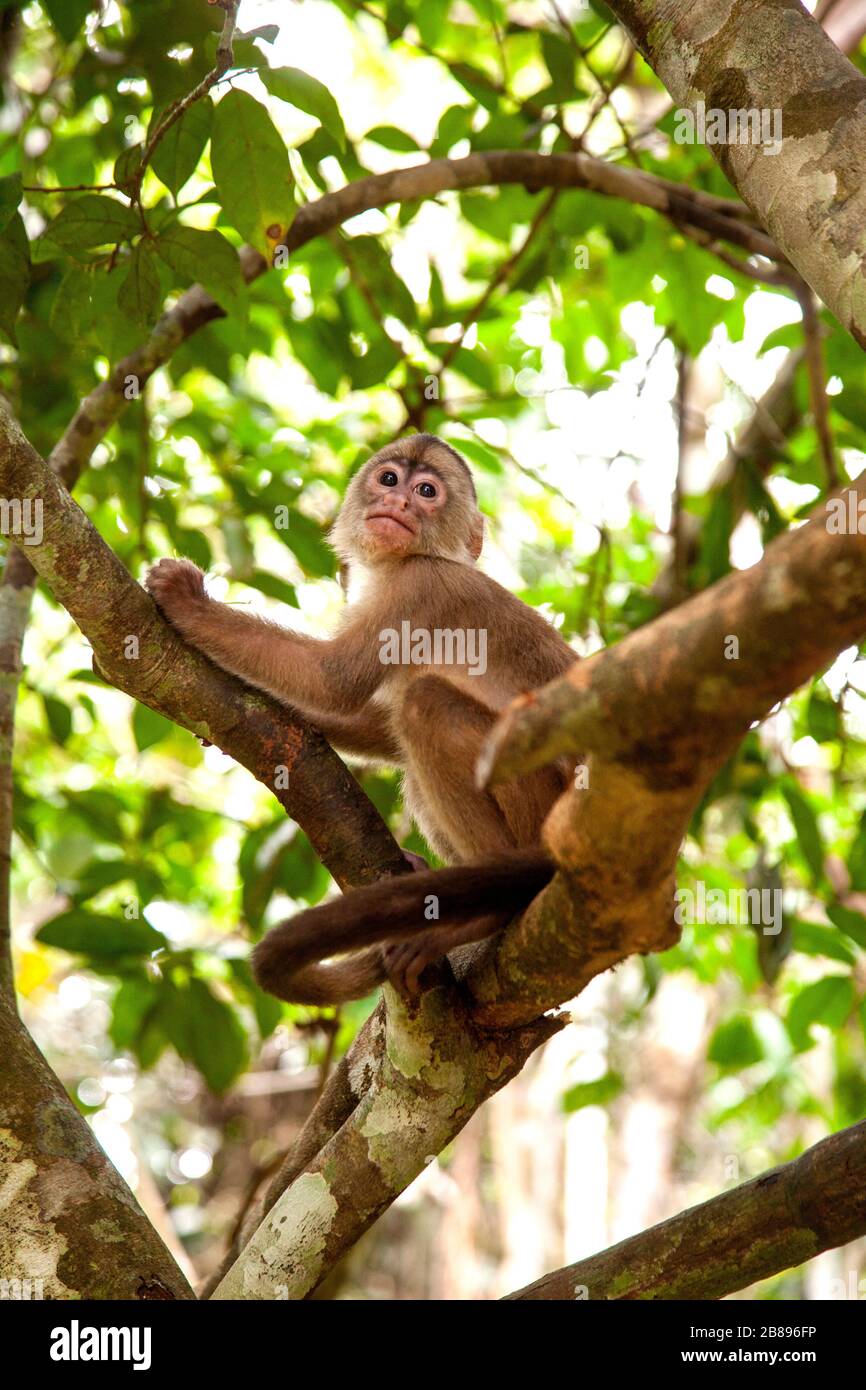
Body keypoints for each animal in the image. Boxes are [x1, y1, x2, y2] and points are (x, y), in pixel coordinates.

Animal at [145, 430, 578, 1000]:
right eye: (389, 480)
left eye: (427, 491)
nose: (398, 504)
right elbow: (375, 723)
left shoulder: (419, 588)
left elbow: (334, 680)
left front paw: (189, 604)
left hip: (541, 800)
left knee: (425, 705)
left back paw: (488, 910)